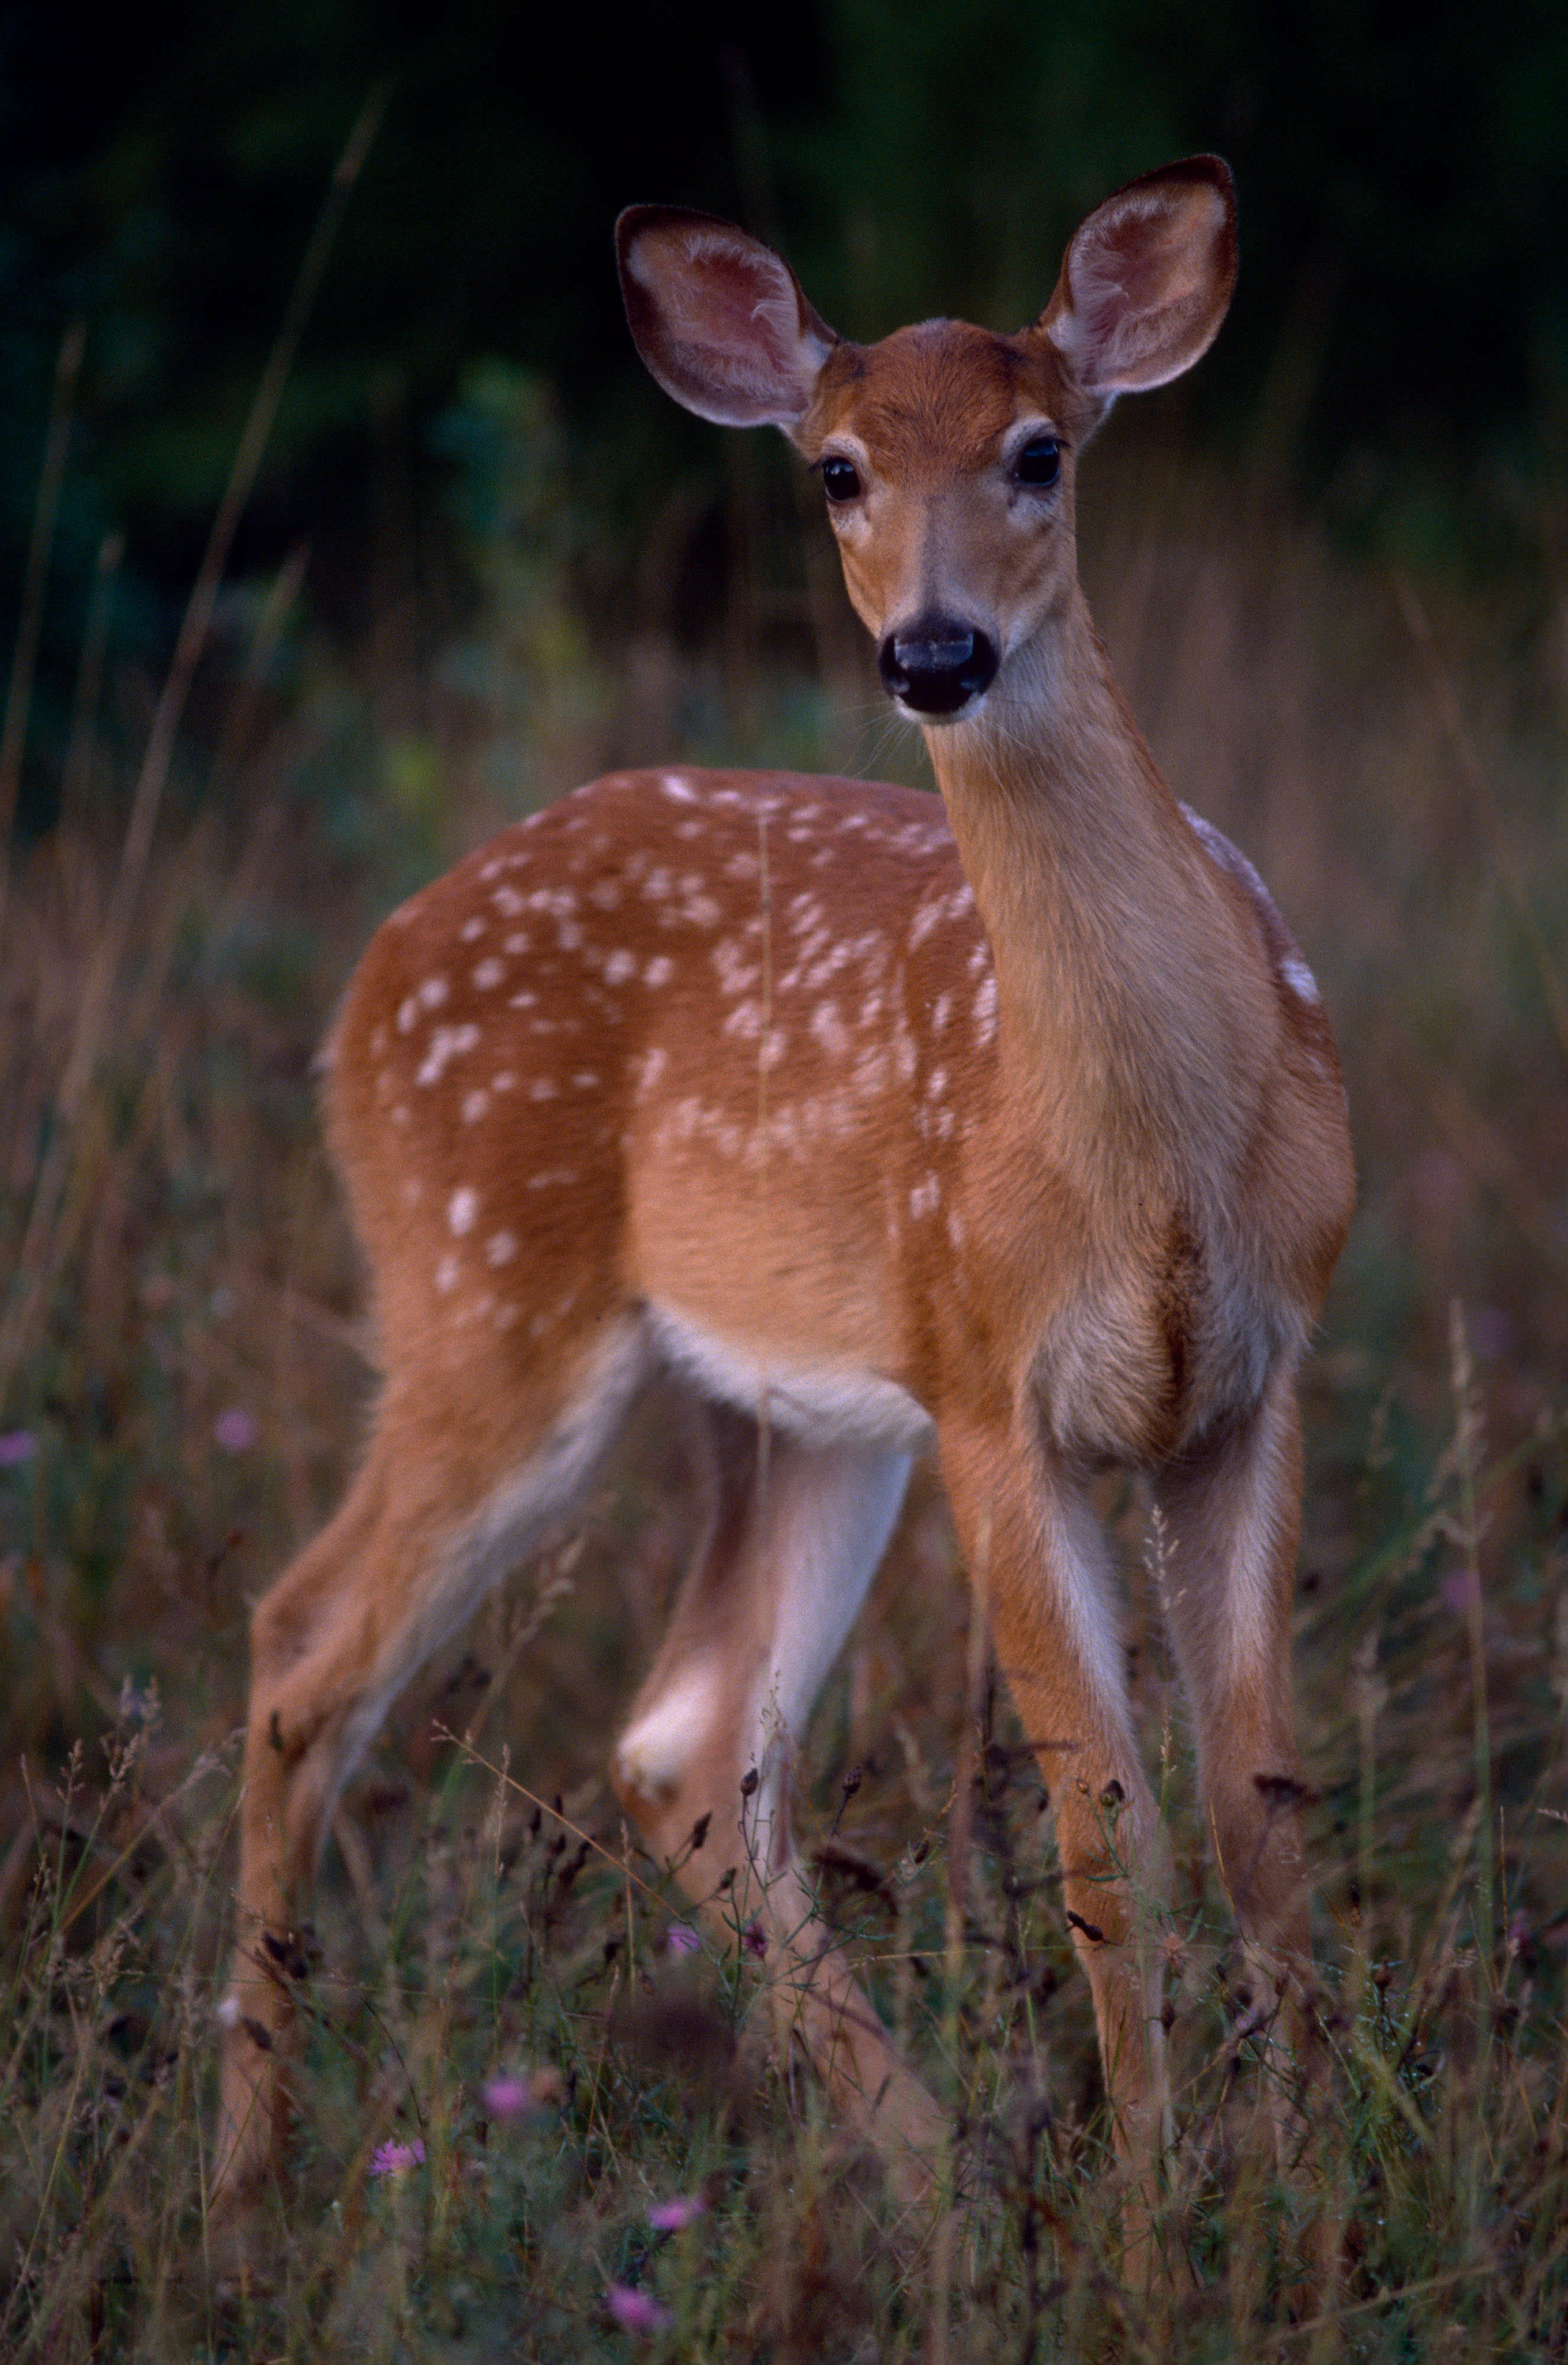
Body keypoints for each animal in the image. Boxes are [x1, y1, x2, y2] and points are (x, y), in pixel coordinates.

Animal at [214, 156, 1354, 2248]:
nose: (932, 654)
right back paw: (248, 2182)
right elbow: (1106, 1821)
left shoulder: (1255, 1374)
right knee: (304, 1653)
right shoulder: (992, 1384)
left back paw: (947, 2179)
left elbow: (1254, 1810)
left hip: (800, 1408)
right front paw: (1160, 2224)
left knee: (682, 1745)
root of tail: (368, 978)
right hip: (487, 1297)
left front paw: (1306, 2198)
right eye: (832, 471)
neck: (1156, 1156)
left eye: (1039, 451)